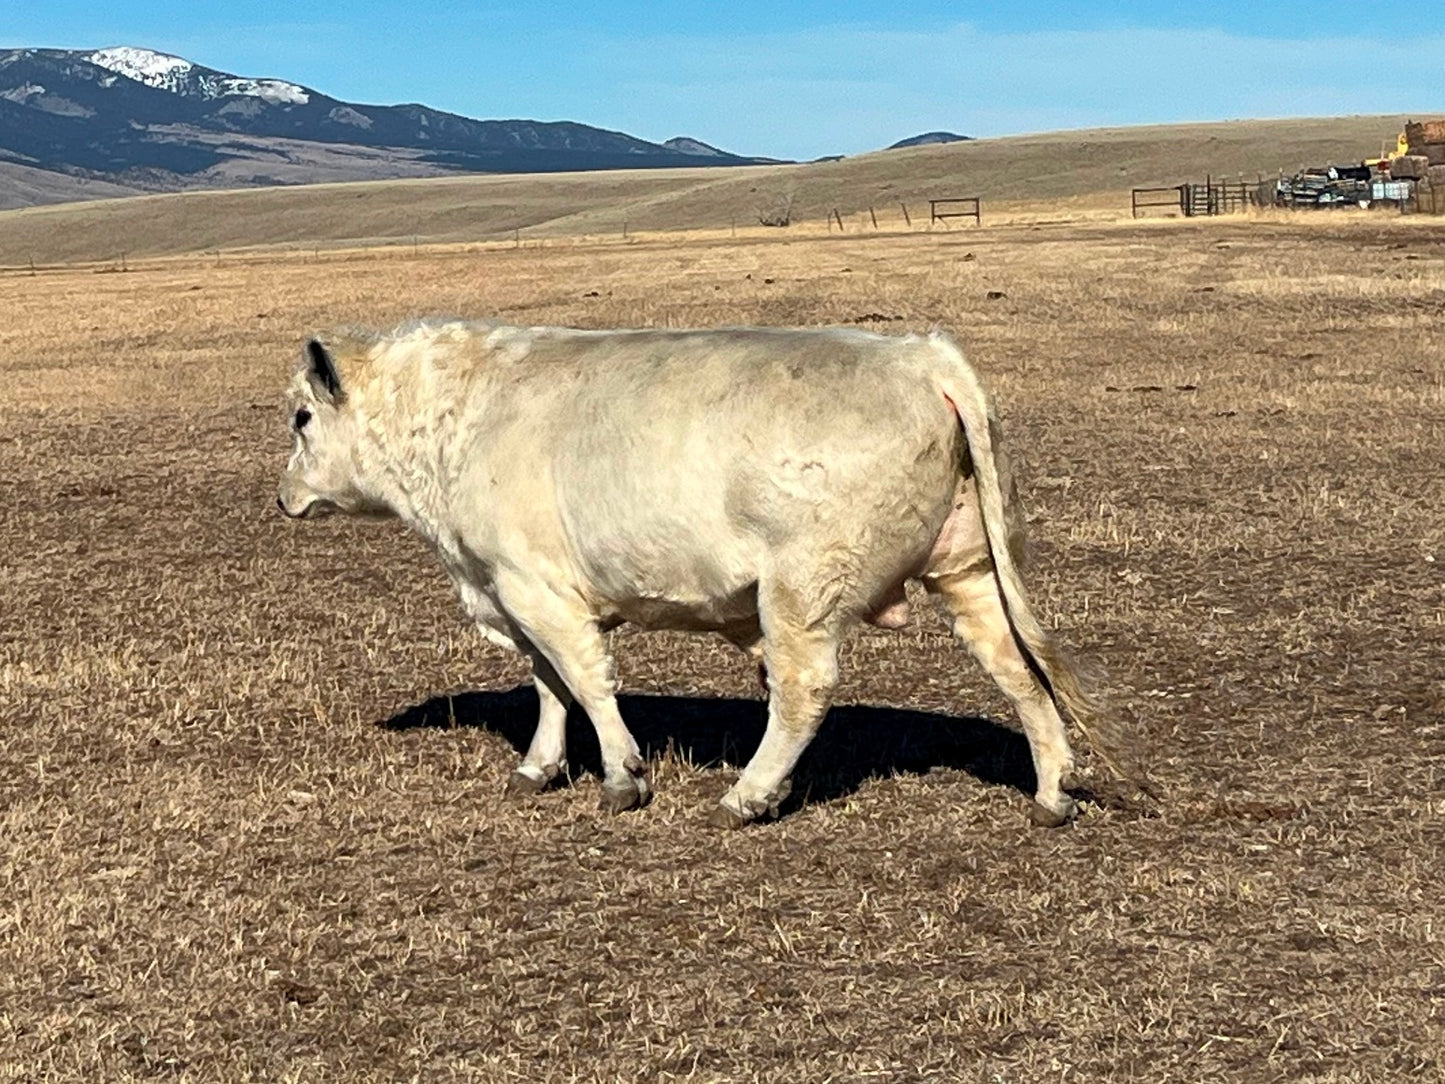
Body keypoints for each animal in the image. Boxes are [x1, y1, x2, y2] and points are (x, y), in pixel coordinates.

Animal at [277, 320, 1112, 828]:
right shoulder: (515, 596)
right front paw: (539, 766)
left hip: (802, 590)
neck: (460, 415)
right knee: (1017, 672)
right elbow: (549, 685)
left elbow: (584, 680)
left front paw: (622, 776)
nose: (283, 496)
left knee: (803, 691)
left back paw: (749, 793)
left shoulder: (532, 587)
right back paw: (1051, 792)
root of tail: (922, 355)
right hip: (967, 571)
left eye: (301, 419)